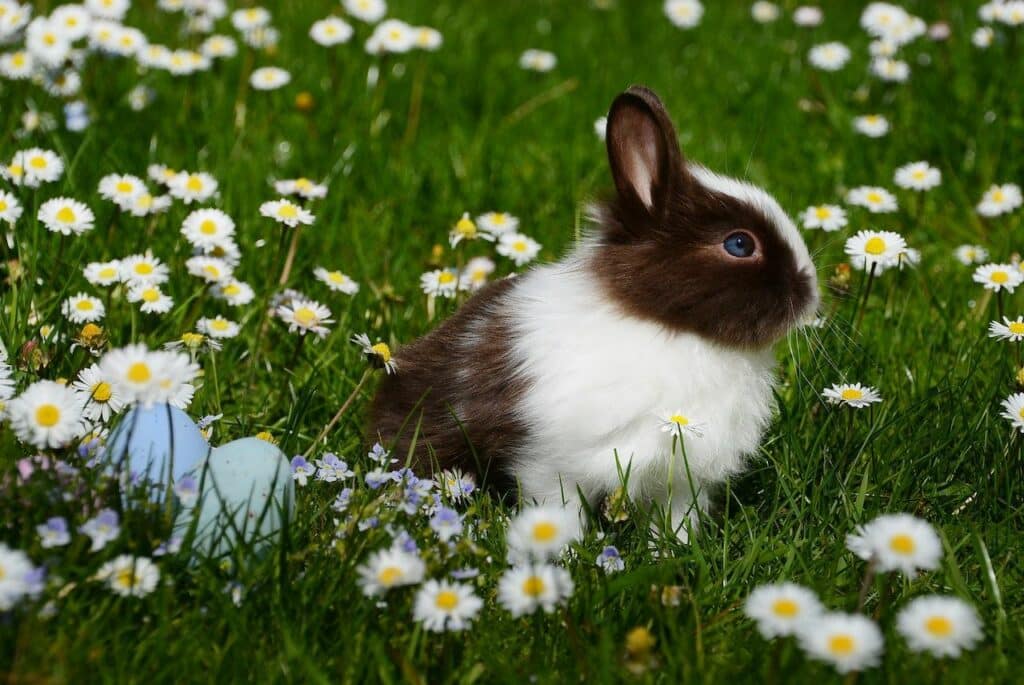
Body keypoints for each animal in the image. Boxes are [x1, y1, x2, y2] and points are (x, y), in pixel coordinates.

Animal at [368, 83, 815, 540]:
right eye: (739, 244)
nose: (810, 292)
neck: (668, 327)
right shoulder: (550, 463)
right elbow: (557, 511)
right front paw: (562, 548)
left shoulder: (680, 479)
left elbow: (675, 519)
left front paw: (673, 547)